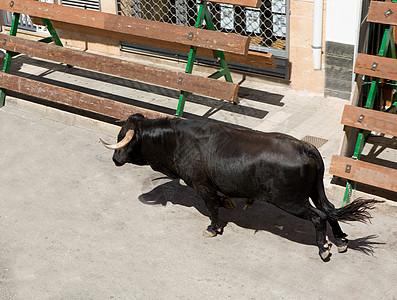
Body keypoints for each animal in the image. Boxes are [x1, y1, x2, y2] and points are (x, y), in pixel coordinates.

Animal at [100, 114, 380, 260]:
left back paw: (324, 249)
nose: (115, 159)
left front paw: (212, 229)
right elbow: (220, 201)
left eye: (124, 137)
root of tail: (305, 146)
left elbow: (212, 208)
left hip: (290, 201)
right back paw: (341, 240)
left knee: (318, 216)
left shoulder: (202, 186)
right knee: (329, 209)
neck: (176, 140)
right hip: (312, 191)